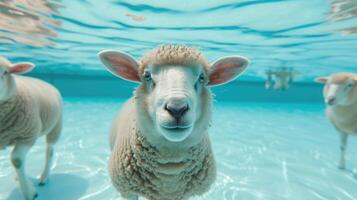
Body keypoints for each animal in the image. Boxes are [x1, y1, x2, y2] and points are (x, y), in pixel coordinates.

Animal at [0, 55, 62, 200]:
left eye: (5, 72)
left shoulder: (28, 135)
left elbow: (17, 160)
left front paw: (29, 192)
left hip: (55, 126)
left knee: (49, 151)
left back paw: (44, 177)